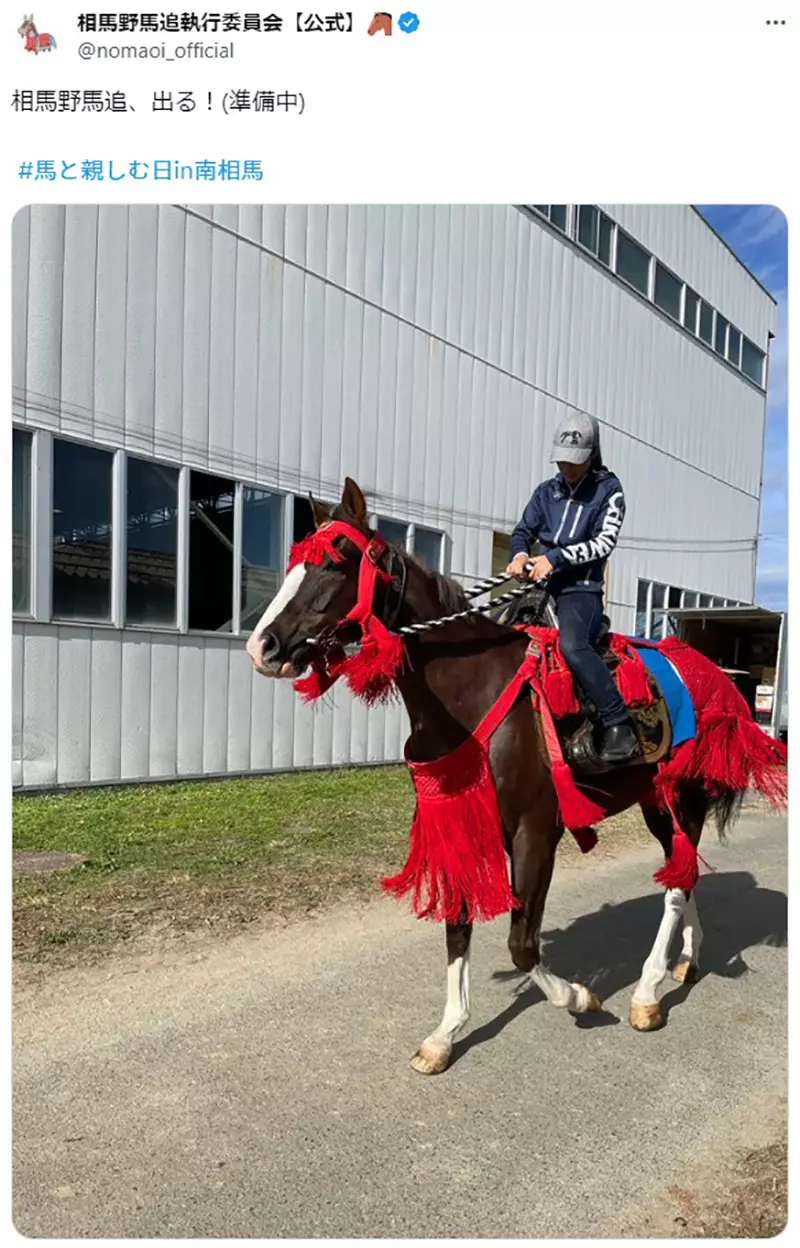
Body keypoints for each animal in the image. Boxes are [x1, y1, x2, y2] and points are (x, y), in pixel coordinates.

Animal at [248, 476, 758, 1073]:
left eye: (335, 561)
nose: (262, 645)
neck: (471, 692)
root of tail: (714, 676)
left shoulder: (534, 832)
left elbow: (521, 943)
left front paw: (577, 996)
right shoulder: (464, 823)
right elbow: (457, 928)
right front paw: (445, 1034)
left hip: (684, 797)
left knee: (677, 886)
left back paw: (648, 992)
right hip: (658, 802)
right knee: (686, 872)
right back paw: (687, 961)